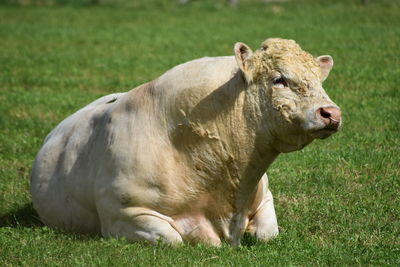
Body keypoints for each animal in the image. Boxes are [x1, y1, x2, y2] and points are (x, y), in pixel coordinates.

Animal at [31, 37, 342, 247]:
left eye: (319, 80)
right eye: (279, 79)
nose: (331, 113)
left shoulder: (264, 196)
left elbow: (268, 234)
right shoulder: (121, 214)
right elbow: (173, 238)